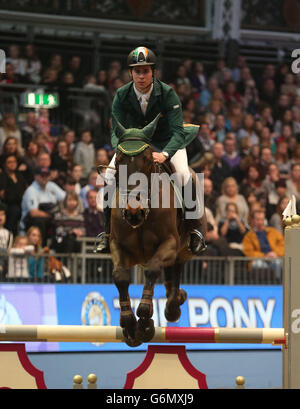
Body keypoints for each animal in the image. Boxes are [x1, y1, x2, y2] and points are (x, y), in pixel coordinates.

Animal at [105, 113, 206, 346]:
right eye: (120, 161)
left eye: (149, 162)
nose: (133, 212)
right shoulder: (117, 244)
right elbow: (120, 276)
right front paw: (129, 325)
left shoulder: (169, 243)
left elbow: (152, 270)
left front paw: (144, 321)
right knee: (171, 274)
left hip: (183, 248)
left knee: (175, 269)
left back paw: (174, 305)